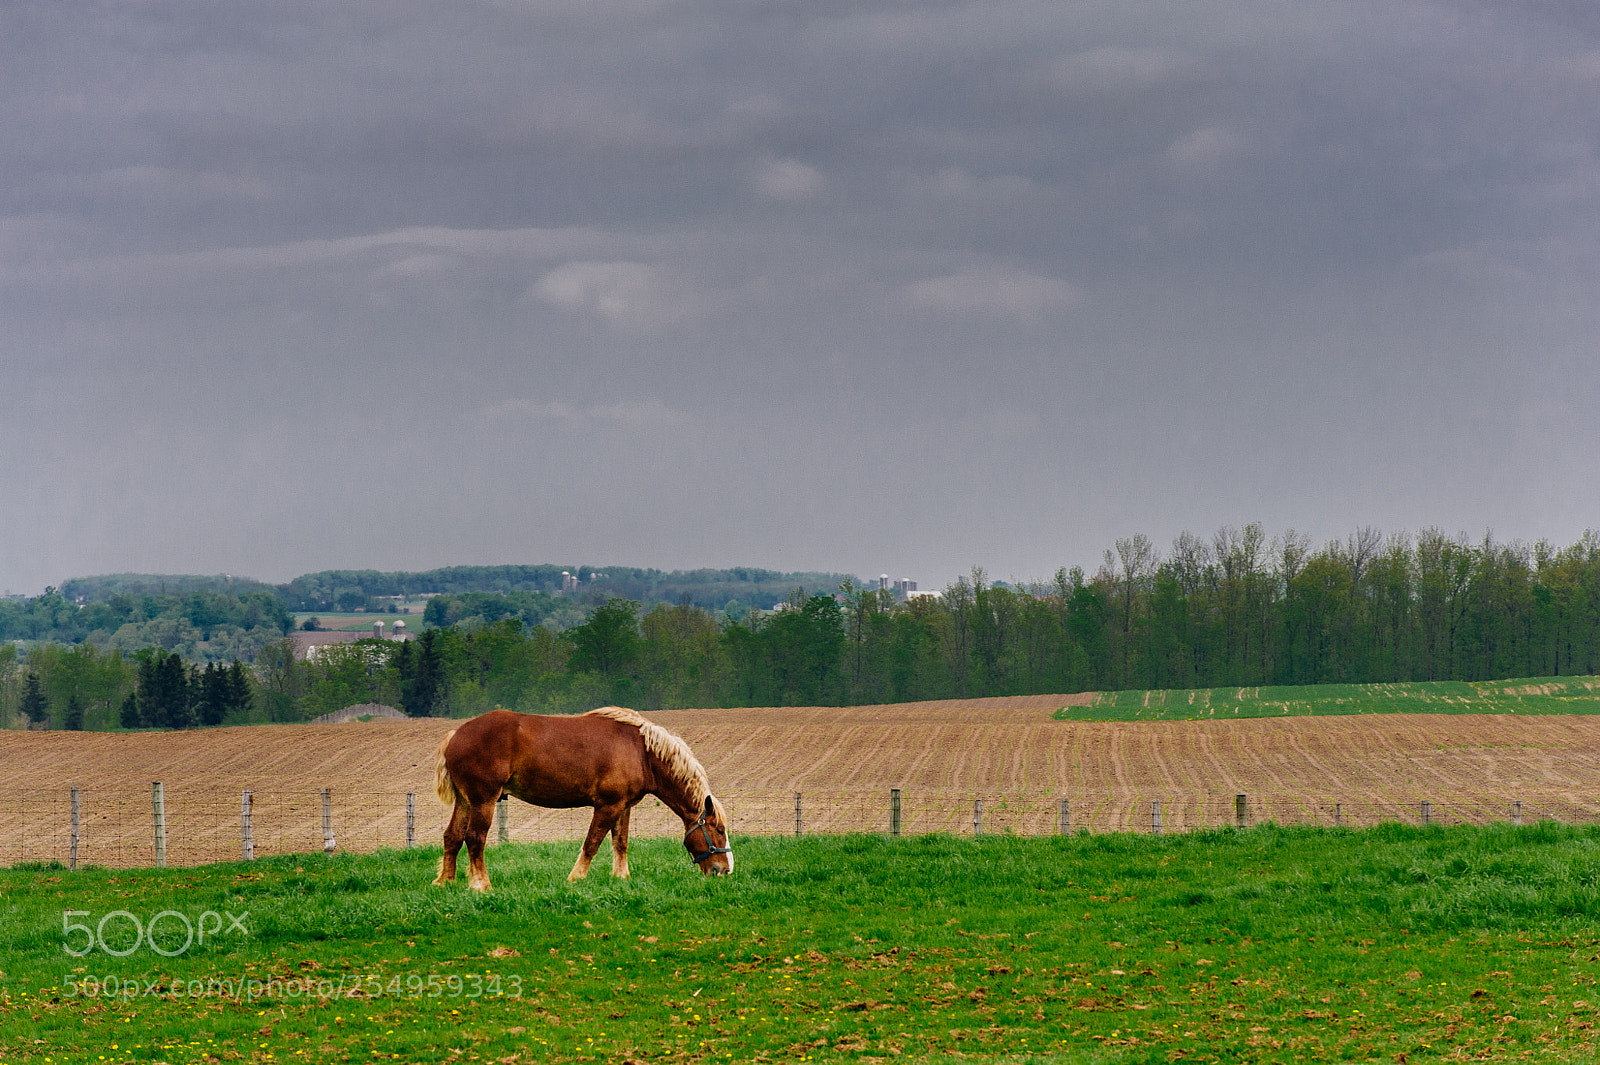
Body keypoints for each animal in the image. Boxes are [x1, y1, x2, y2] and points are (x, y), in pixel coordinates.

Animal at [431, 706, 732, 891]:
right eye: (719, 830)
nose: (725, 870)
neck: (641, 750)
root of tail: (455, 735)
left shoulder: (623, 807)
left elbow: (620, 842)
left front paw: (621, 877)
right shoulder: (607, 806)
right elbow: (592, 843)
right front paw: (576, 877)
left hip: (465, 801)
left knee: (452, 837)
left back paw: (445, 881)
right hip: (483, 800)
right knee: (474, 839)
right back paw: (481, 885)